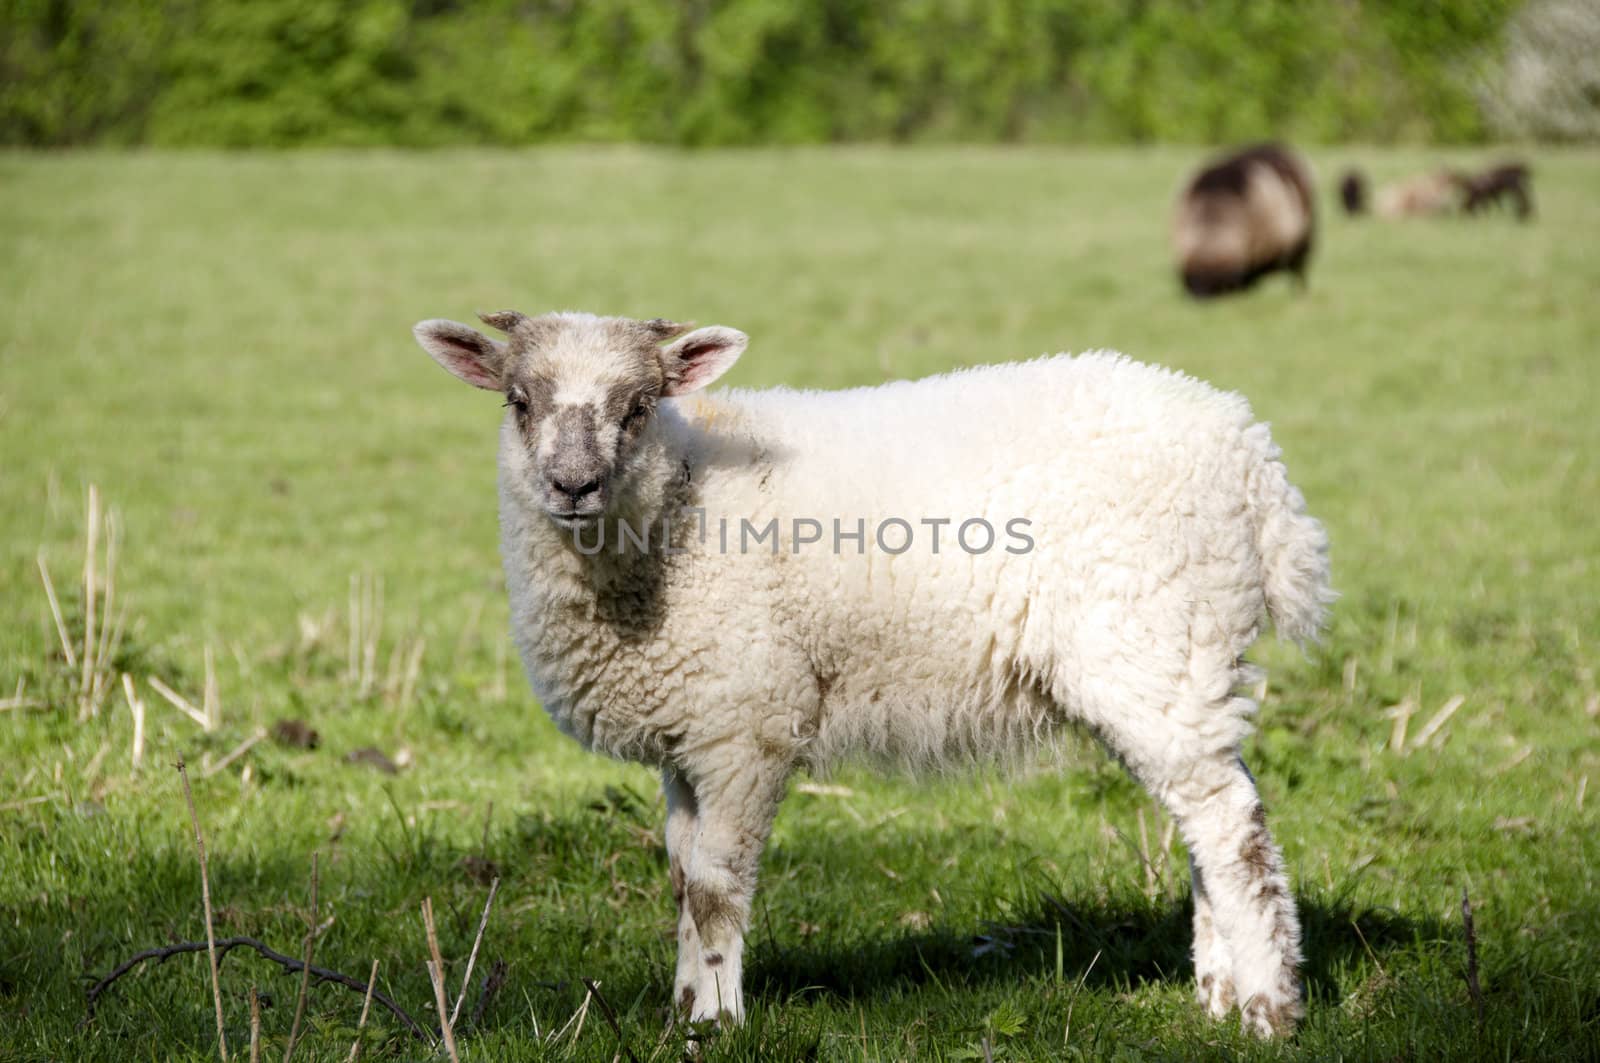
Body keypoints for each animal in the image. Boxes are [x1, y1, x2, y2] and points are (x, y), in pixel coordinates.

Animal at [406, 307, 1331, 1037]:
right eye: (519, 402)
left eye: (637, 406)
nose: (573, 484)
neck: (677, 506)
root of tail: (1250, 454)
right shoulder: (686, 729)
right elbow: (677, 879)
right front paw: (683, 1009)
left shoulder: (746, 721)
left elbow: (714, 886)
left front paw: (719, 1020)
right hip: (1183, 655)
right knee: (1209, 813)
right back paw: (1215, 993)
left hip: (1154, 638)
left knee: (1233, 828)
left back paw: (1268, 1009)